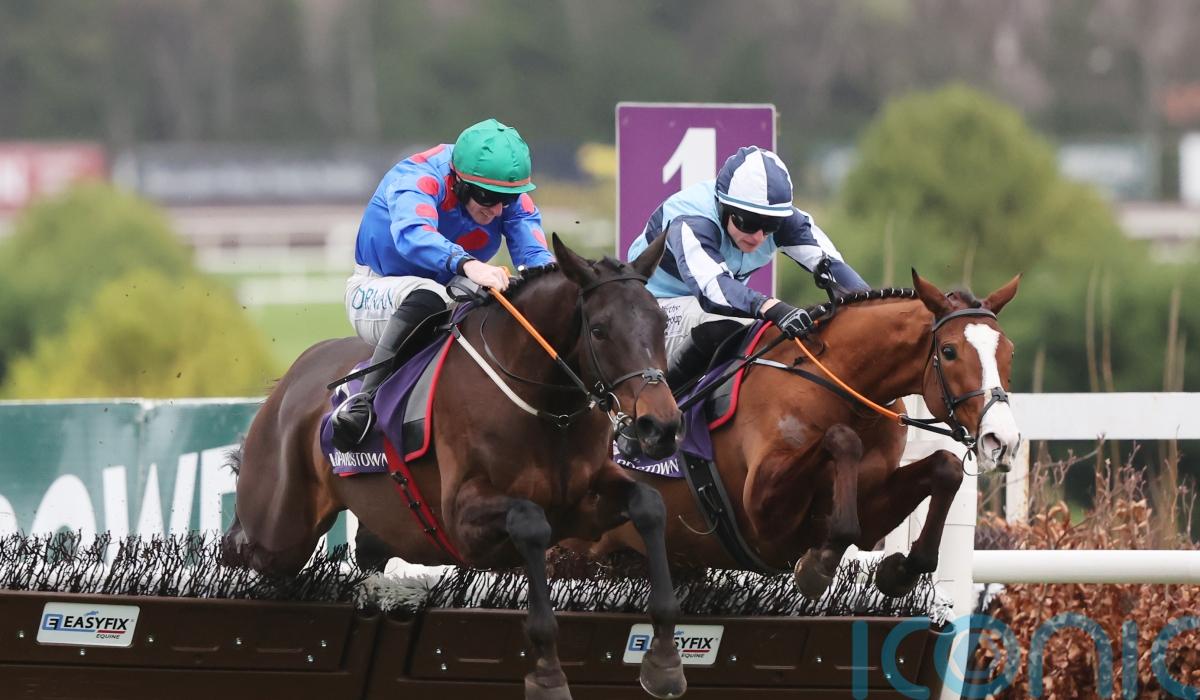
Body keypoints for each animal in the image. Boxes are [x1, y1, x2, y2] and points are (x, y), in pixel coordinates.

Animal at [222, 233, 689, 700]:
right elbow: (530, 522)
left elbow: (649, 505)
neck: (545, 406)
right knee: (242, 550)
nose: (661, 425)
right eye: (599, 330)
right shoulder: (464, 521)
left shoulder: (581, 505)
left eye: (661, 324)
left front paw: (664, 661)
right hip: (279, 530)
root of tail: (292, 378)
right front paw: (548, 674)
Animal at [583, 270, 1021, 600]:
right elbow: (842, 440)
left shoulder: (873, 510)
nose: (1002, 440)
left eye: (1010, 352)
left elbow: (946, 467)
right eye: (949, 351)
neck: (842, 387)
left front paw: (902, 570)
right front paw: (819, 564)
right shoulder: (763, 513)